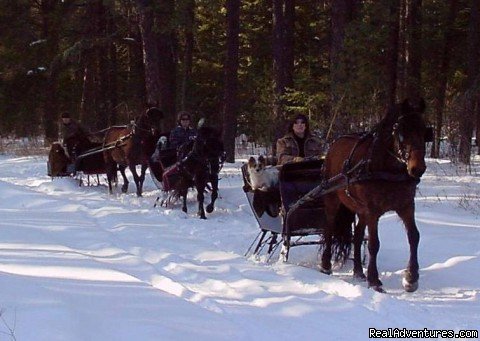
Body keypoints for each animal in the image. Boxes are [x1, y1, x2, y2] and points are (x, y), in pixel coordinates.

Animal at [320, 98, 430, 292]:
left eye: (424, 130)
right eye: (401, 131)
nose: (417, 168)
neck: (388, 168)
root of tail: (333, 145)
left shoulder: (406, 206)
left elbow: (414, 236)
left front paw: (411, 278)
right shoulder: (373, 210)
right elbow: (374, 244)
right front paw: (374, 280)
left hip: (360, 209)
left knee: (357, 235)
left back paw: (358, 271)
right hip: (333, 199)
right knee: (329, 229)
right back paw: (326, 266)